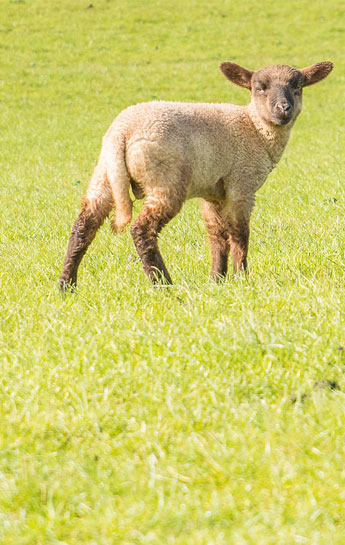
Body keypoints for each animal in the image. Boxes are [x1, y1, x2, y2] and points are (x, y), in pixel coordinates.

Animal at [58, 59, 330, 288]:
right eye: (259, 88)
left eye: (298, 86)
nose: (284, 108)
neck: (255, 129)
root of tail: (121, 132)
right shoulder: (241, 184)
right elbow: (240, 234)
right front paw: (242, 277)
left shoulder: (212, 192)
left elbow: (217, 236)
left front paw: (217, 279)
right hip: (165, 179)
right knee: (141, 229)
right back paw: (163, 284)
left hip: (104, 175)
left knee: (83, 225)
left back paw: (66, 285)